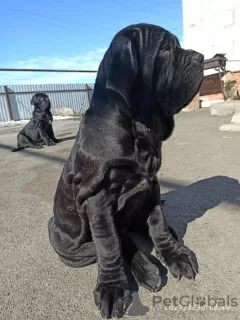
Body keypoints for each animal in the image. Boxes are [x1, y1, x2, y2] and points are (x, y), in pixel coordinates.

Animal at [47, 22, 203, 318]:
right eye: (164, 49)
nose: (200, 57)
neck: (138, 128)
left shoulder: (151, 185)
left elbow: (158, 223)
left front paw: (174, 253)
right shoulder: (98, 198)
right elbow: (109, 244)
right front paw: (113, 288)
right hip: (70, 245)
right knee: (115, 241)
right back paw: (146, 268)